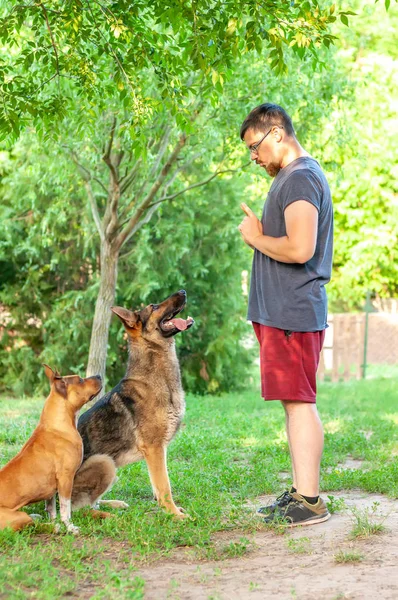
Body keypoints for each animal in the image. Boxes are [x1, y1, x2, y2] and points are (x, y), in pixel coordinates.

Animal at [0, 364, 102, 532]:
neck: (57, 425)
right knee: (33, 524)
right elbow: (66, 508)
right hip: (18, 516)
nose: (99, 376)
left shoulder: (51, 488)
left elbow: (52, 508)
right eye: (80, 380)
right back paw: (54, 527)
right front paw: (69, 526)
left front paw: (55, 520)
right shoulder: (66, 478)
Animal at [74, 290, 195, 516]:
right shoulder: (154, 447)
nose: (183, 291)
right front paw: (174, 514)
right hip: (104, 462)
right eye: (154, 306)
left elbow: (159, 483)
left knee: (92, 502)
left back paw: (113, 504)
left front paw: (166, 509)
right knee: (77, 509)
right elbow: (165, 485)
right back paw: (105, 515)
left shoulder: (158, 451)